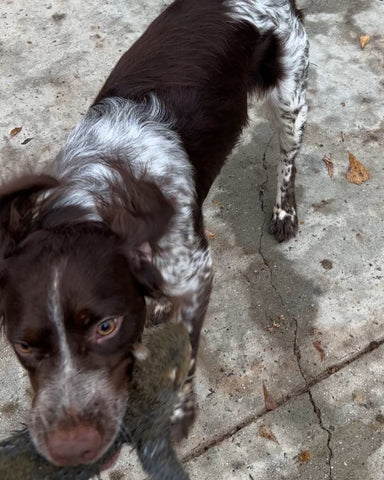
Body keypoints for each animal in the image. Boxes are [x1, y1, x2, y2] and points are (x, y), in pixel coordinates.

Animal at [0, 0, 308, 466]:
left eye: (106, 327)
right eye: (23, 346)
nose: (71, 451)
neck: (96, 198)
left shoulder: (198, 272)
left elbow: (186, 350)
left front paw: (177, 411)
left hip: (290, 101)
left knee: (288, 158)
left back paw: (284, 210)